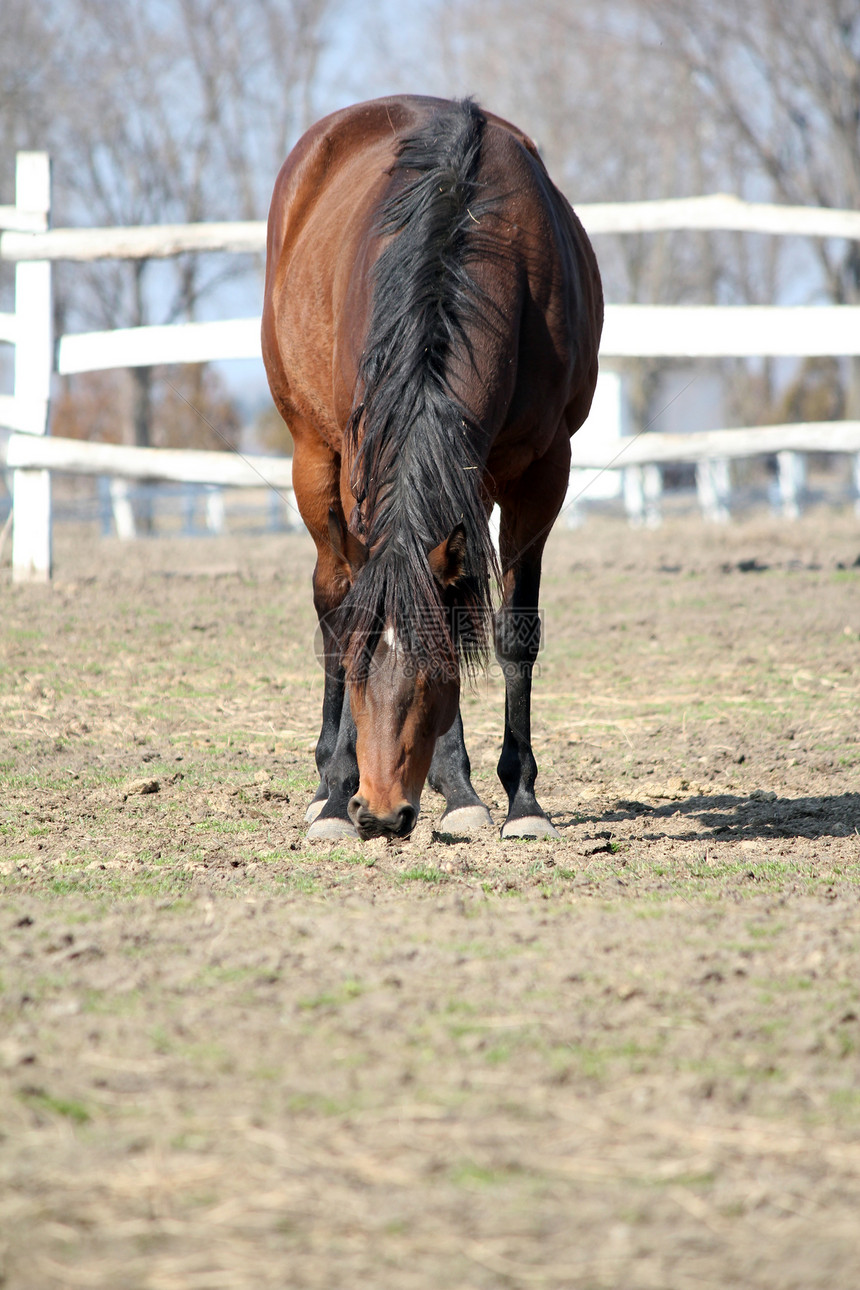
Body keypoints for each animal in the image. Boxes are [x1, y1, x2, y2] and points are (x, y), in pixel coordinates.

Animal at [263, 100, 605, 846]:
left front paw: (519, 801)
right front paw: (336, 795)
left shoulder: (544, 472)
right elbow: (347, 617)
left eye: (434, 672)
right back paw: (328, 784)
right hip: (313, 456)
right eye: (365, 673)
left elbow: (512, 631)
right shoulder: (360, 465)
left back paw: (456, 790)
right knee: (330, 599)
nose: (380, 813)